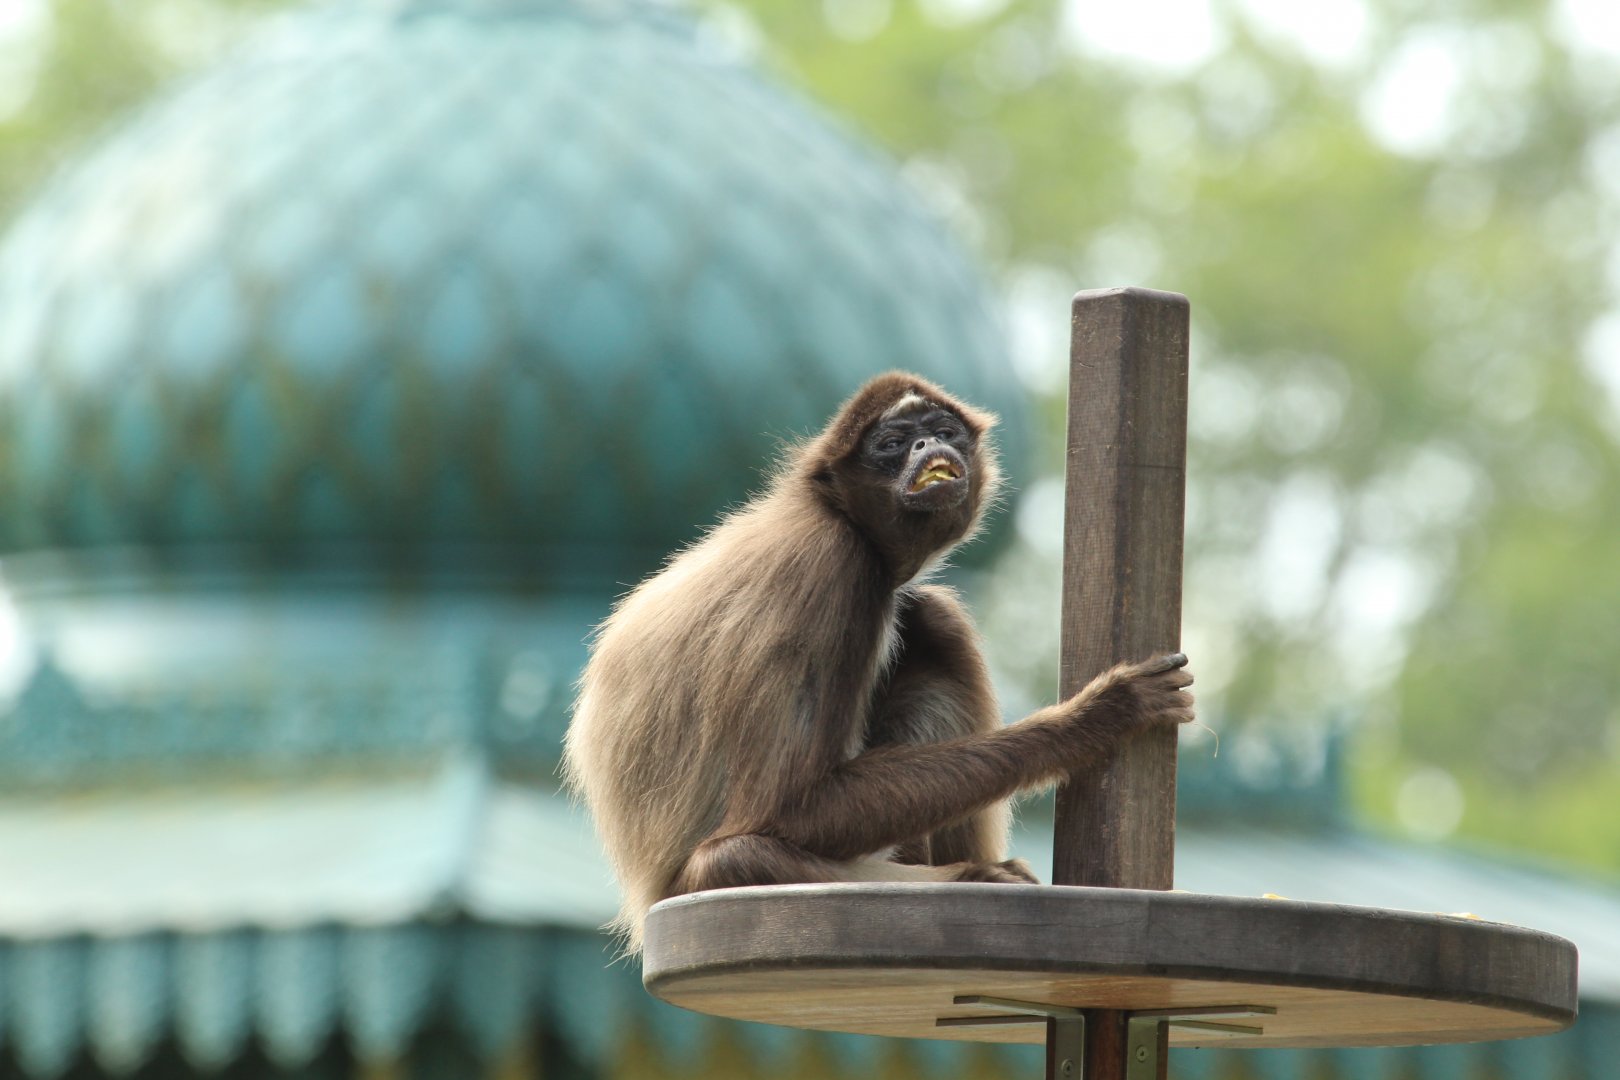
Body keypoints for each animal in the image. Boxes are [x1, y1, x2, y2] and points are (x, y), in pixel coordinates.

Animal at [563, 371, 1194, 950]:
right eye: (892, 444)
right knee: (733, 857)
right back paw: (970, 876)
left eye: (943, 431)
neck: (826, 510)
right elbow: (789, 808)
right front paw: (1098, 716)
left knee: (932, 619)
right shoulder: (830, 569)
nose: (926, 445)